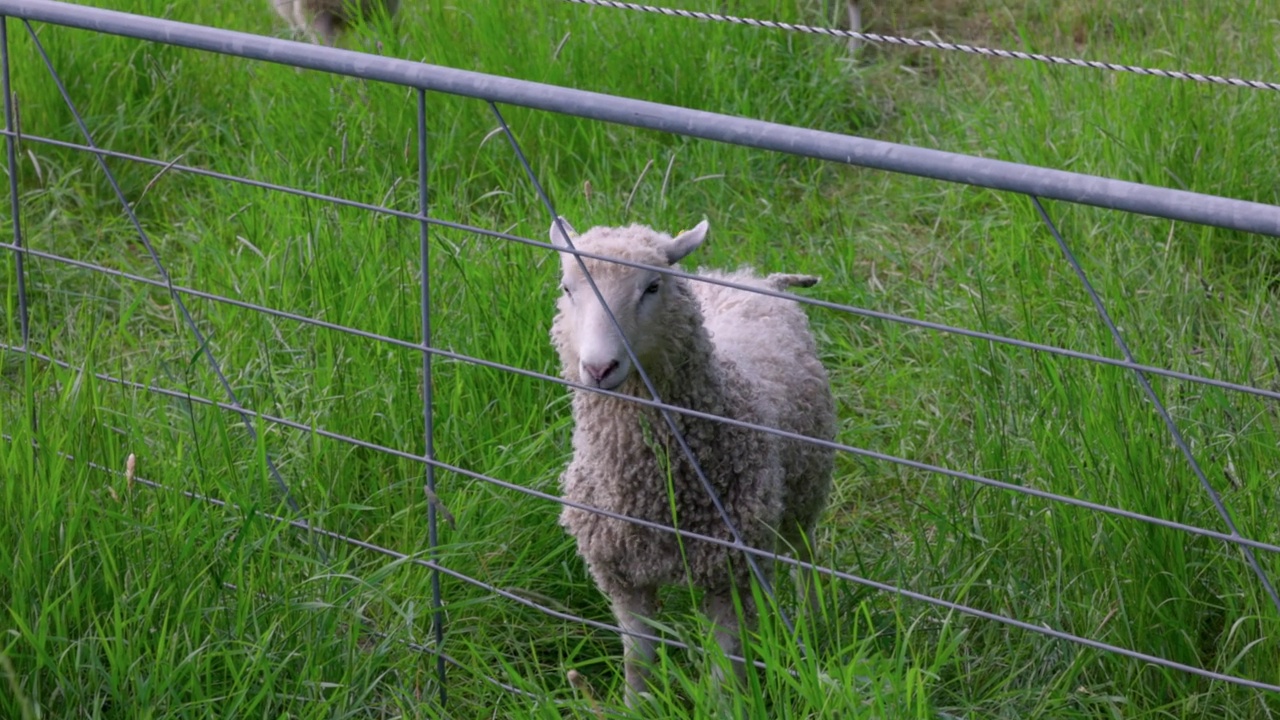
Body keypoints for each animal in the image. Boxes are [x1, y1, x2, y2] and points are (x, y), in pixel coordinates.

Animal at [550, 217, 839, 702]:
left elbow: (724, 675)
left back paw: (814, 625)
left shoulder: (731, 576)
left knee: (804, 555)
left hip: (806, 485)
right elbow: (638, 661)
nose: (599, 369)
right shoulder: (623, 579)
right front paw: (637, 705)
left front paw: (726, 706)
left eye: (652, 287)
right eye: (567, 288)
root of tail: (748, 277)